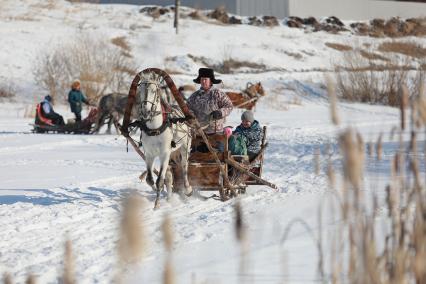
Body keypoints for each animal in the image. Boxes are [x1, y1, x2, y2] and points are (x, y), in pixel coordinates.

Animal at [134, 72, 192, 207]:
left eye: (154, 90)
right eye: (140, 90)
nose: (146, 111)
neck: (155, 129)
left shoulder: (164, 153)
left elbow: (160, 180)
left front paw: (157, 205)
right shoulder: (149, 154)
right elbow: (150, 180)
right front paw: (157, 195)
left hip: (185, 146)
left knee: (184, 167)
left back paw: (187, 189)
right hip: (172, 152)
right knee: (170, 174)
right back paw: (170, 198)